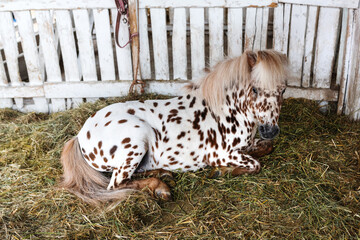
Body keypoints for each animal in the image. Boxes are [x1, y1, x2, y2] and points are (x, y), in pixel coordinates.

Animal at [59, 49, 290, 204]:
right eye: (255, 89)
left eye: (284, 90)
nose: (271, 130)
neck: (227, 111)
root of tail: (80, 136)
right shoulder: (221, 154)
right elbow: (255, 164)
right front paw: (221, 171)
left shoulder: (247, 145)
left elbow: (266, 148)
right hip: (136, 140)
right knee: (116, 184)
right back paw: (161, 188)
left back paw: (164, 175)